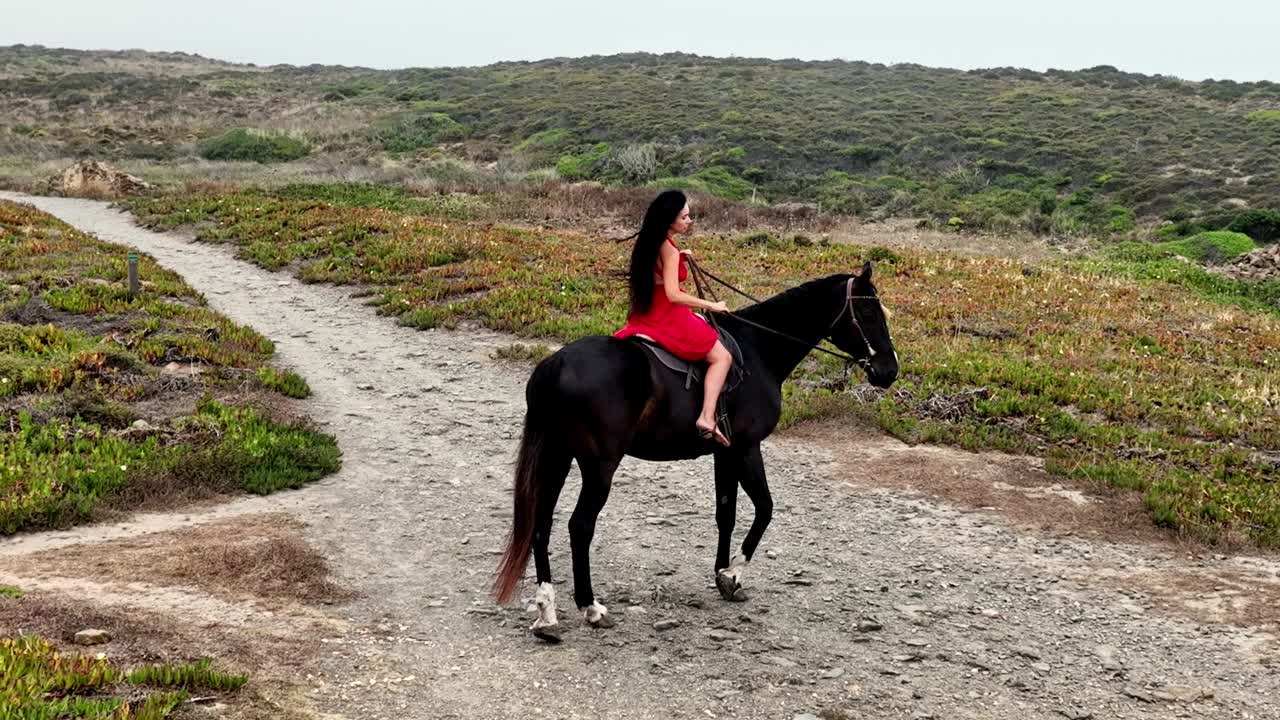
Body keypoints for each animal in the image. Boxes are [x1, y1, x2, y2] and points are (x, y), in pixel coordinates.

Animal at [494, 260, 896, 635]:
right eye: (868, 313)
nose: (889, 371)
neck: (758, 350)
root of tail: (556, 362)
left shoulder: (724, 453)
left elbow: (726, 513)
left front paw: (722, 576)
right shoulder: (746, 448)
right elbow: (764, 509)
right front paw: (733, 574)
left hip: (558, 456)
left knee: (542, 523)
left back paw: (547, 611)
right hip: (599, 466)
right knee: (579, 526)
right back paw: (590, 607)